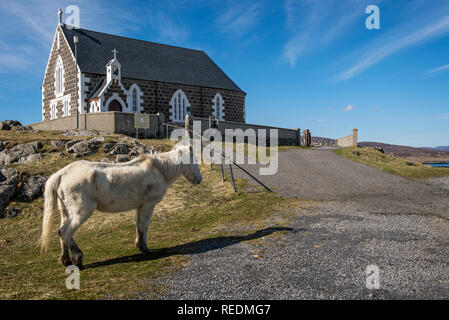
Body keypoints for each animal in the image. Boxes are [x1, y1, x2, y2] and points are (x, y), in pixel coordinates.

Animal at [40, 145, 201, 268]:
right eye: (194, 160)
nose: (199, 179)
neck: (158, 170)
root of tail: (62, 173)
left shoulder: (140, 207)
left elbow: (139, 226)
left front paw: (140, 245)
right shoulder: (148, 205)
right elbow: (144, 226)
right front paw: (145, 249)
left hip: (65, 212)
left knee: (61, 233)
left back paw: (66, 260)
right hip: (81, 212)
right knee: (65, 232)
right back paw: (78, 259)